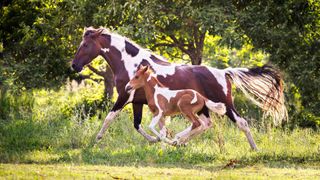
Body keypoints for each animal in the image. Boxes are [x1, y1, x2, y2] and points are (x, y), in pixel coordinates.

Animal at [71, 27, 286, 150]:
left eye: (86, 44)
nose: (74, 66)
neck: (132, 64)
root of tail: (224, 72)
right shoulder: (138, 101)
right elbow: (139, 124)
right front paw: (156, 141)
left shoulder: (124, 96)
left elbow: (110, 117)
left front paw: (96, 140)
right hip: (205, 107)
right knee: (204, 124)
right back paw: (180, 141)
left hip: (225, 104)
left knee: (241, 123)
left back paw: (255, 149)